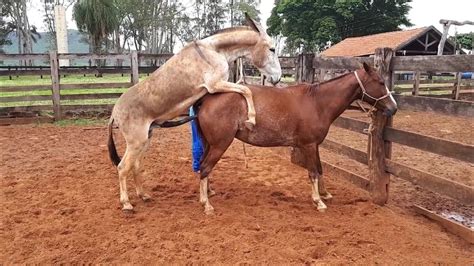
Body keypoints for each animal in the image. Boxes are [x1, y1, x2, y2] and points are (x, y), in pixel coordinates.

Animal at [193, 62, 396, 214]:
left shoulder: (315, 145)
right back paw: (206, 204)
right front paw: (318, 201)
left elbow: (320, 169)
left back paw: (209, 192)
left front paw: (325, 194)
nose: (393, 107)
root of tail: (207, 99)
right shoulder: (309, 145)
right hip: (220, 144)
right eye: (380, 82)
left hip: (210, 144)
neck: (317, 103)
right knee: (205, 167)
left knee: (203, 166)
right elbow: (313, 172)